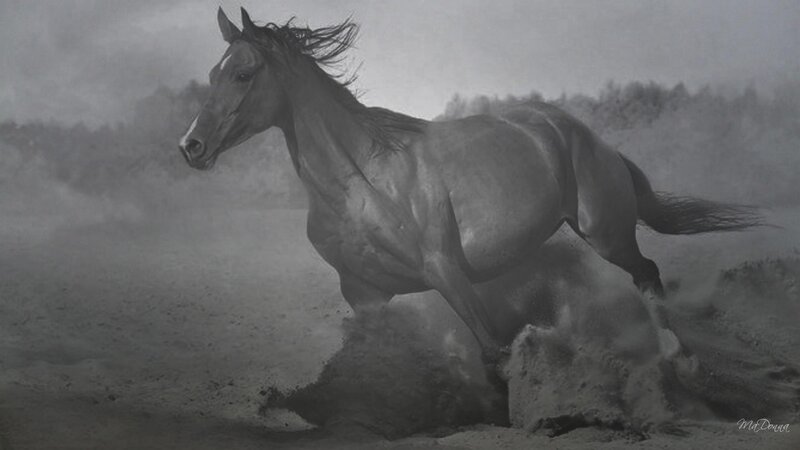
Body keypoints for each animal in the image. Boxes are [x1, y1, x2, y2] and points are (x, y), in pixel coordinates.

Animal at [178, 8, 762, 375]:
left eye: (245, 73)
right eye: (213, 71)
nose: (191, 146)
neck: (361, 182)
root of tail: (588, 136)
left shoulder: (446, 272)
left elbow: (493, 350)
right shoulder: (363, 294)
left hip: (606, 232)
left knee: (647, 274)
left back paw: (680, 359)